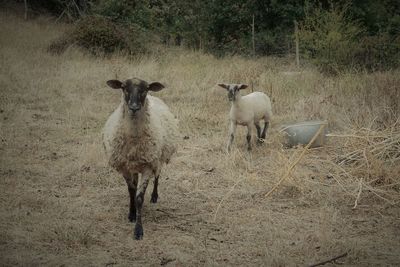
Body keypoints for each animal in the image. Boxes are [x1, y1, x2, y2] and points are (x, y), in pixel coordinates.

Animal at [102, 77, 179, 241]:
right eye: (124, 87)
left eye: (145, 89)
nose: (134, 107)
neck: (134, 140)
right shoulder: (125, 166)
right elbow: (131, 191)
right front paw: (131, 214)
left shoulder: (148, 166)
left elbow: (139, 198)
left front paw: (138, 230)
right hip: (135, 165)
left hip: (157, 159)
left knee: (157, 175)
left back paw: (154, 196)